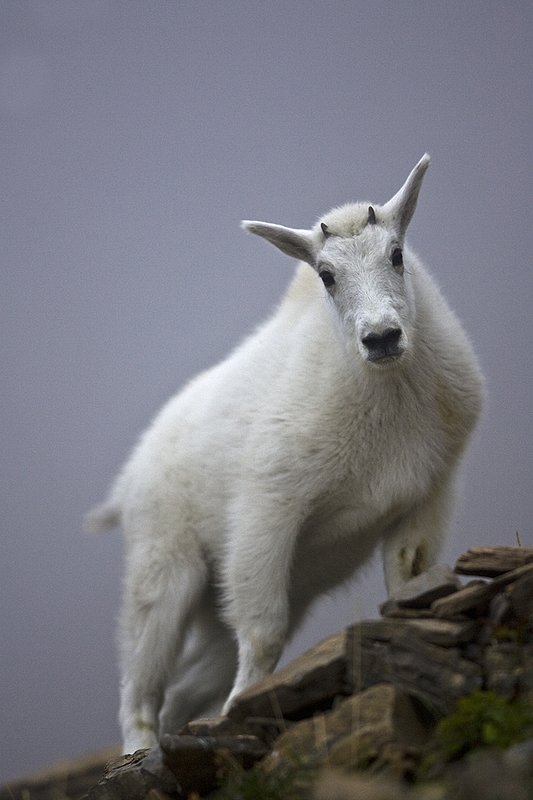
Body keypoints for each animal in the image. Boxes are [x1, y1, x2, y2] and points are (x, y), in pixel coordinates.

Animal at [87, 154, 484, 753]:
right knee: (141, 682)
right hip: (164, 561)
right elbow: (263, 633)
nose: (382, 338)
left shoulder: (427, 495)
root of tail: (128, 479)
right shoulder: (268, 508)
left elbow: (407, 584)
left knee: (183, 689)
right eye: (327, 275)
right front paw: (243, 714)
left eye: (396, 254)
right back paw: (140, 751)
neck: (384, 391)